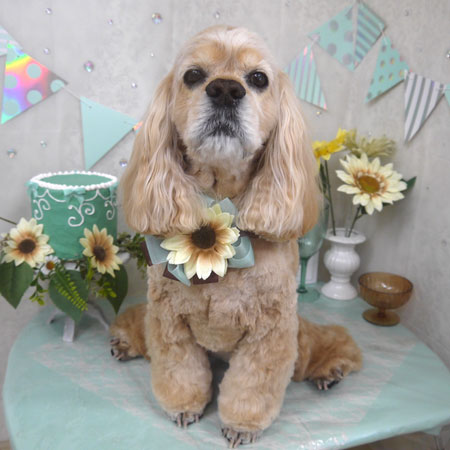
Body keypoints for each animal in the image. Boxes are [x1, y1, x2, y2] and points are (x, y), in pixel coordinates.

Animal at [110, 25, 362, 447]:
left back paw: (332, 368)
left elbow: (253, 383)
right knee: (140, 327)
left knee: (315, 346)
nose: (226, 90)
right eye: (193, 75)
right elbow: (179, 368)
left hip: (297, 334)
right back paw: (125, 341)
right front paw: (184, 406)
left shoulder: (273, 330)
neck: (220, 204)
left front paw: (241, 425)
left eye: (258, 78)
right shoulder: (168, 320)